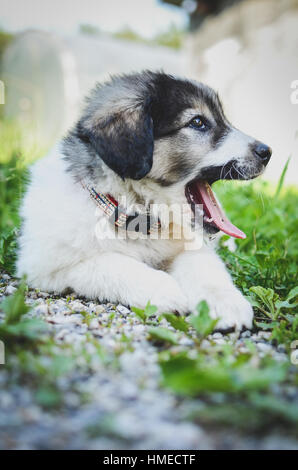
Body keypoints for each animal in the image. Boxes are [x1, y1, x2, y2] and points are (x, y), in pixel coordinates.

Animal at [16, 72, 272, 330]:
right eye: (198, 122)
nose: (267, 152)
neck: (142, 220)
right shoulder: (46, 265)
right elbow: (112, 262)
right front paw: (167, 291)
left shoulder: (191, 245)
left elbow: (204, 266)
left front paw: (225, 302)